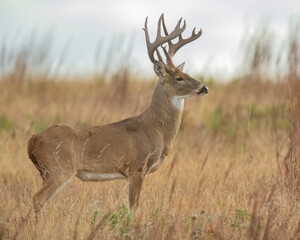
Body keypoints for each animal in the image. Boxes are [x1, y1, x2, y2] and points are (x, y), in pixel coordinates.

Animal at [28, 14, 209, 214]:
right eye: (179, 78)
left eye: (188, 73)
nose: (204, 88)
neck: (157, 130)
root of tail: (33, 139)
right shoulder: (137, 166)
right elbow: (133, 208)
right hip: (58, 168)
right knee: (37, 198)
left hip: (48, 171)